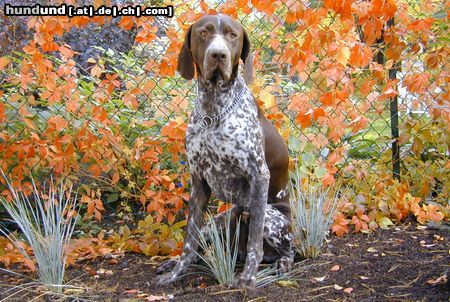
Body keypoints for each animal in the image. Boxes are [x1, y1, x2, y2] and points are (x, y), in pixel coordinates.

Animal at [156, 14, 294, 288]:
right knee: (201, 244)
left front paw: (248, 278)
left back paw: (281, 264)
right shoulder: (198, 180)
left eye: (232, 35)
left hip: (267, 216)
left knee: (289, 250)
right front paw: (176, 273)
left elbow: (254, 243)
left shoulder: (258, 176)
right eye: (204, 32)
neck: (213, 111)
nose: (218, 55)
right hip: (218, 222)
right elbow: (189, 241)